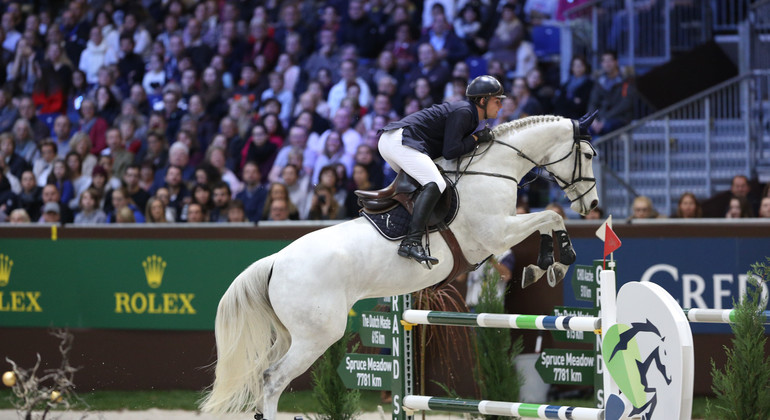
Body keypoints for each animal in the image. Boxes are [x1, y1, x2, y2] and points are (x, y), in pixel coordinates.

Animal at [201, 113, 596, 418]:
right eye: (590, 154)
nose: (591, 205)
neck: (493, 170)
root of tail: (275, 261)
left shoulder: (500, 235)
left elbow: (547, 219)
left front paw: (544, 266)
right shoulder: (496, 234)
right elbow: (549, 217)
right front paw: (556, 263)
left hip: (290, 333)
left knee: (261, 373)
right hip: (316, 336)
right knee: (273, 380)